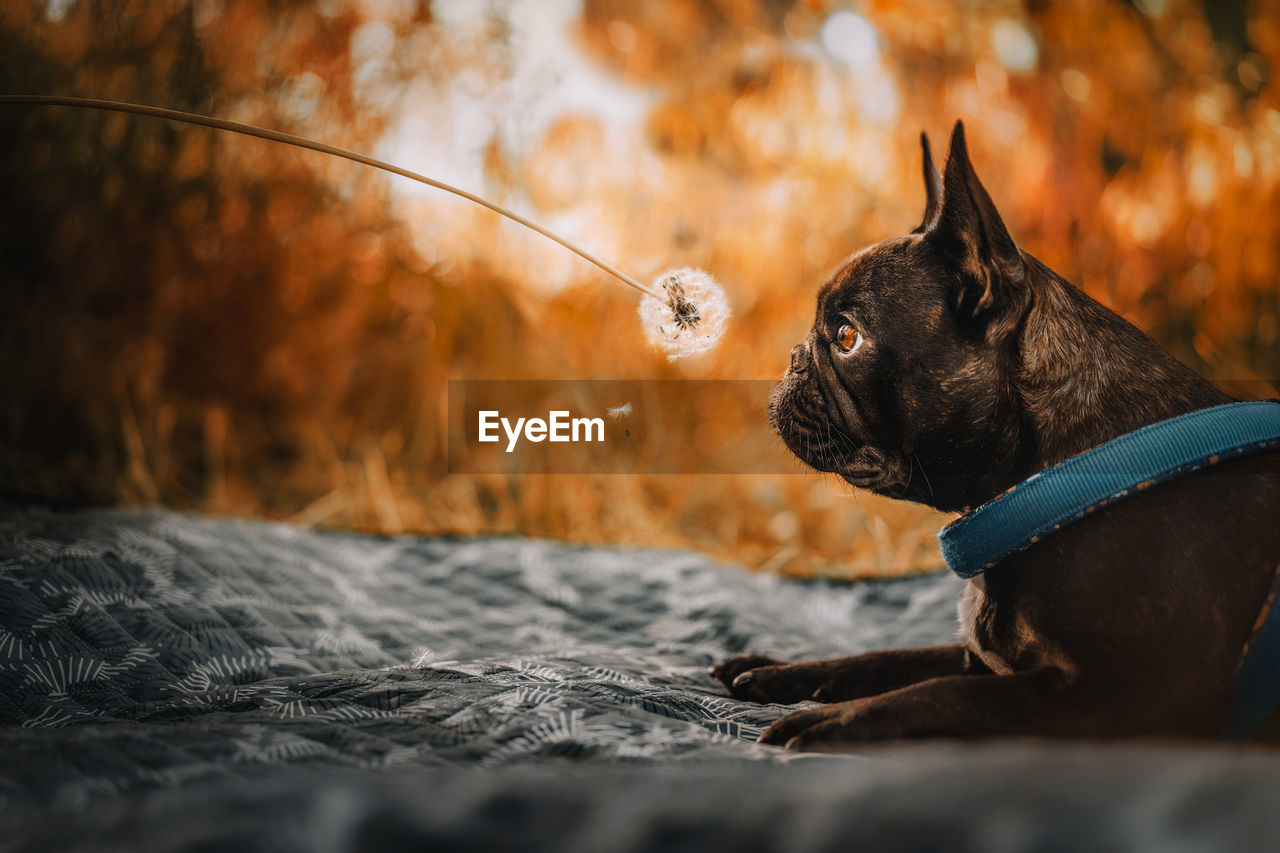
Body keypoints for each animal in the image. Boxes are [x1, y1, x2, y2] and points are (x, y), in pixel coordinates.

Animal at [711, 122, 1280, 747]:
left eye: (845, 337)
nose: (793, 358)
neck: (1049, 478)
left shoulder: (1123, 697)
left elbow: (930, 694)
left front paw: (823, 720)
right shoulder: (977, 656)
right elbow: (884, 660)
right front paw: (776, 670)